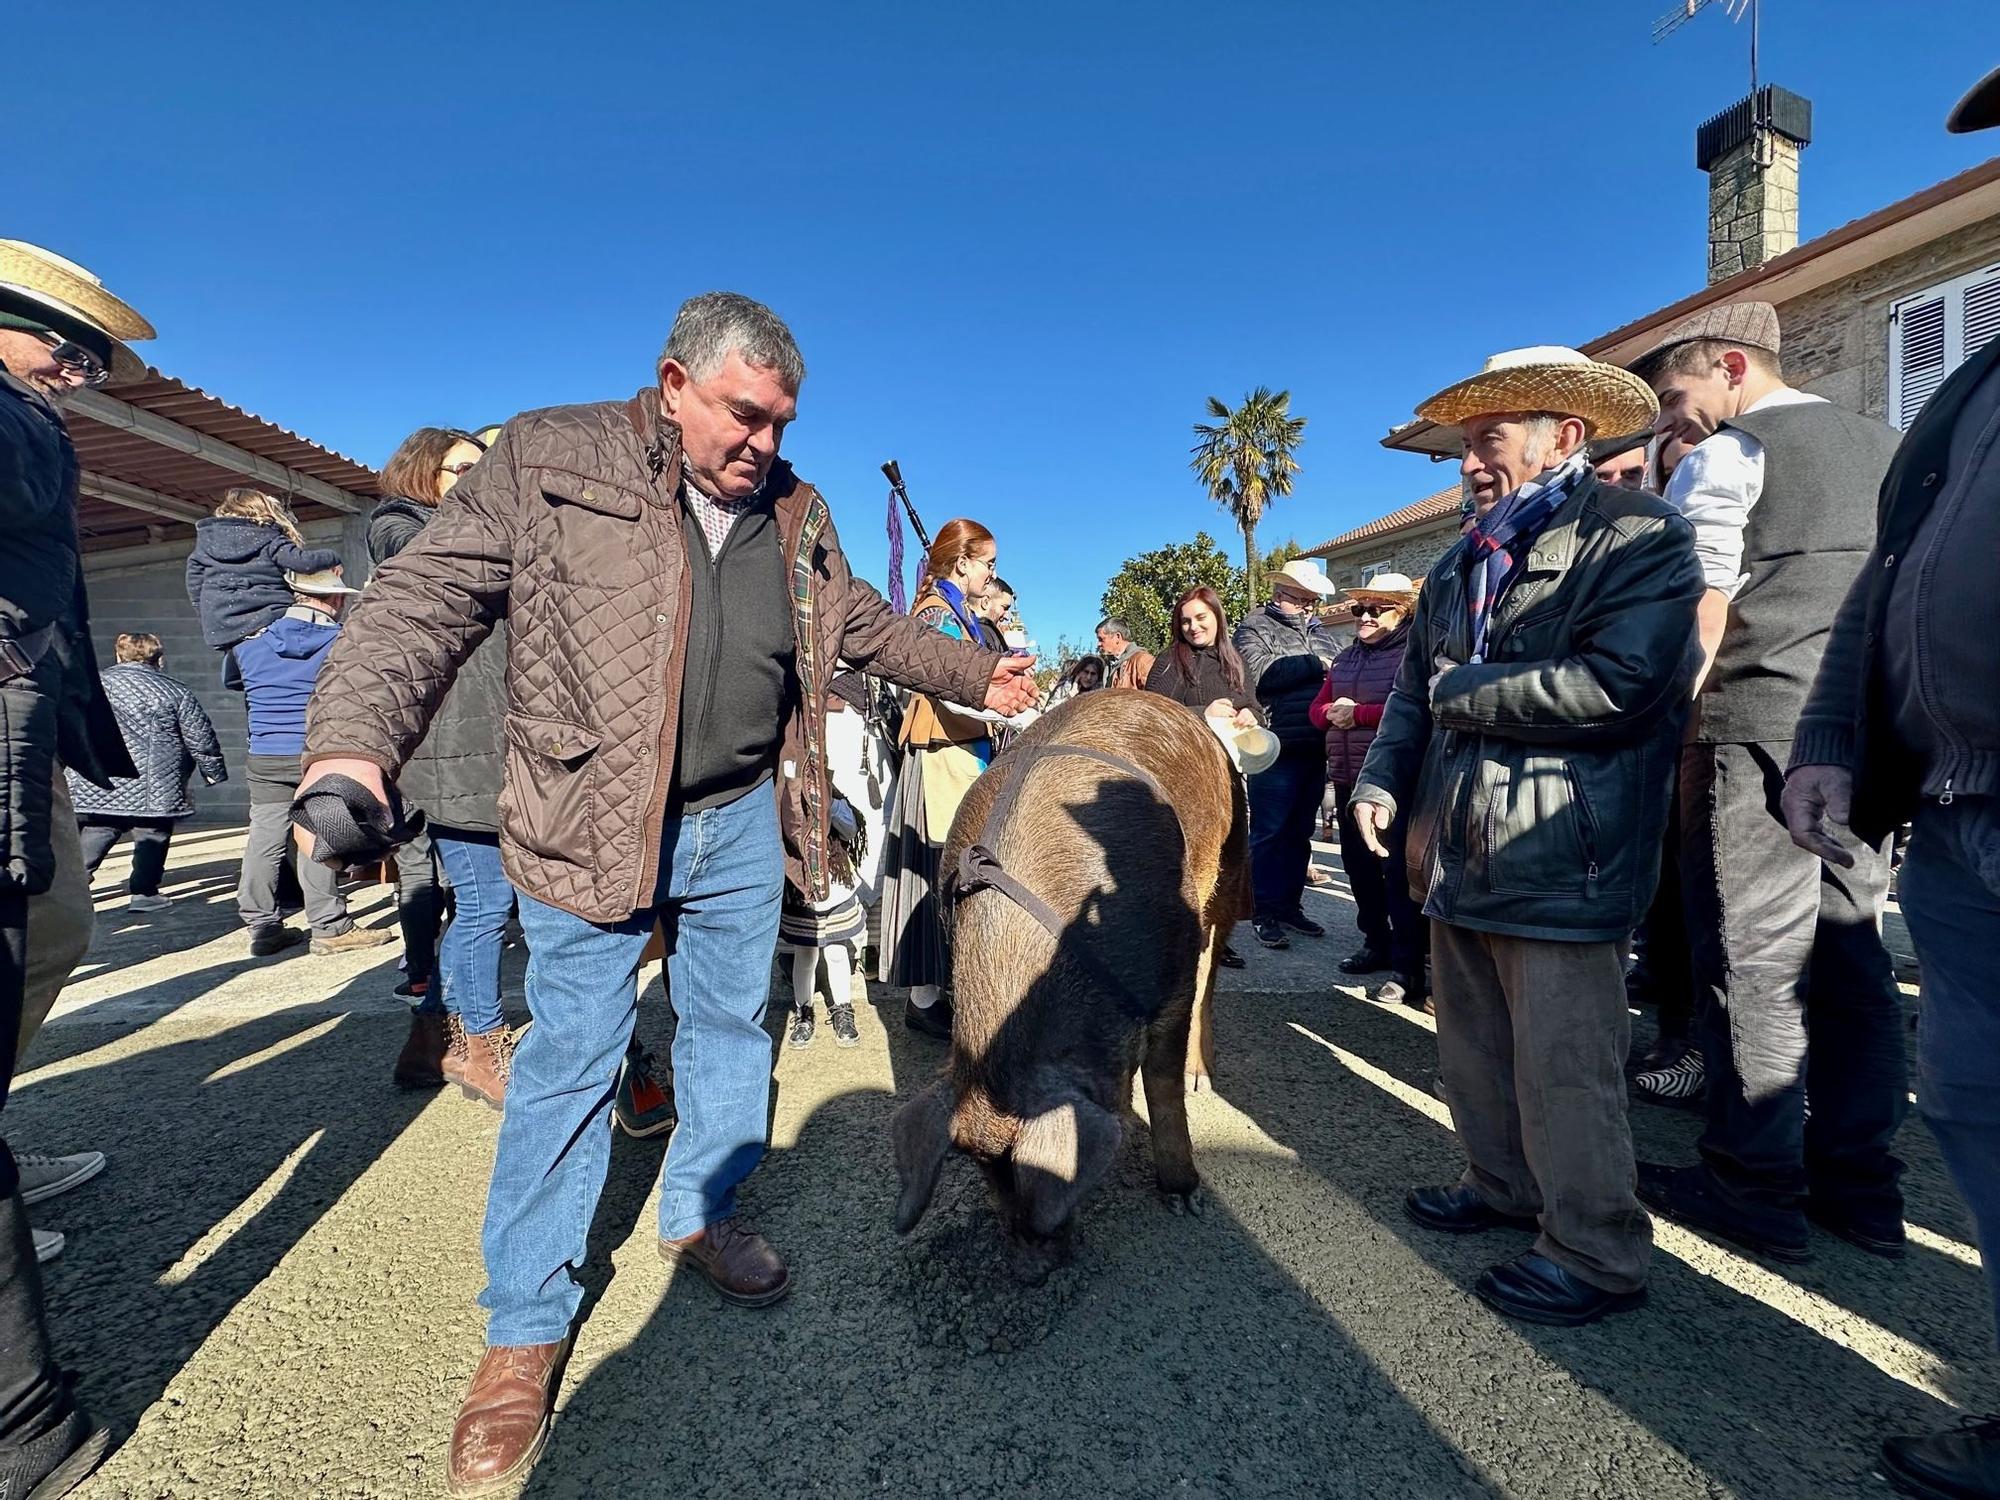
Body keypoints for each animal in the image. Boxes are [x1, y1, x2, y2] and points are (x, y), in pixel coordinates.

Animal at [896, 692, 1248, 1280]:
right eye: (986, 1175)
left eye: (1036, 1177)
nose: (1027, 1274)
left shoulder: (1169, 977)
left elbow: (1164, 1086)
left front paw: (1185, 1198)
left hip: (1232, 862)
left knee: (1212, 967)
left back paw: (1203, 1078)